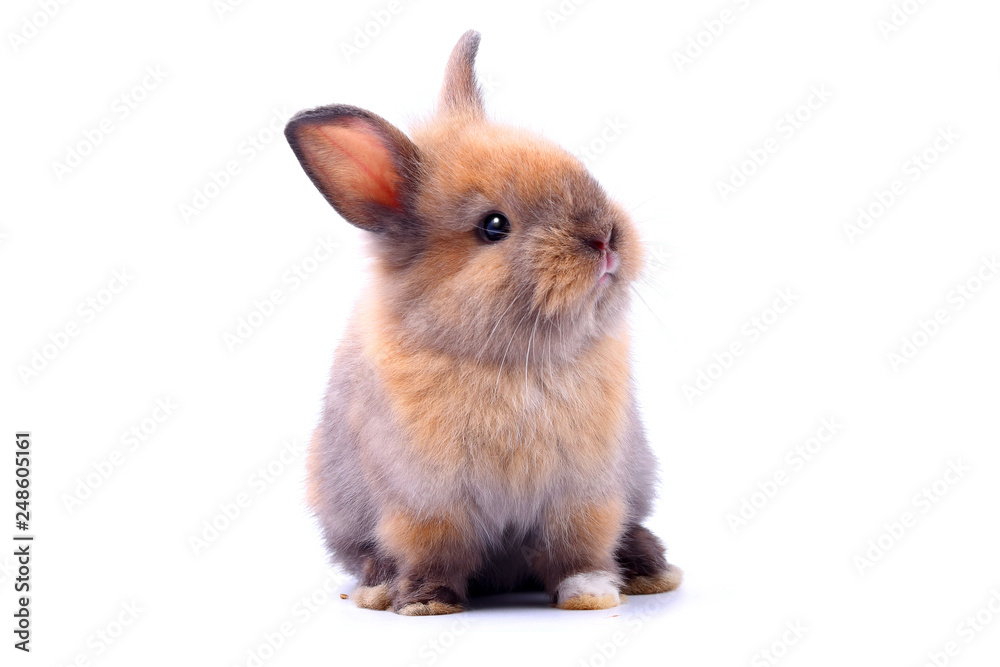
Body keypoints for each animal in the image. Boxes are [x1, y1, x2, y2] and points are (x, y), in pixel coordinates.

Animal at [285, 30, 681, 615]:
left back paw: (652, 569)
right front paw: (426, 604)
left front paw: (591, 595)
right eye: (494, 226)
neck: (515, 364)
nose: (604, 237)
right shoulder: (425, 505)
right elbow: (433, 553)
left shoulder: (583, 496)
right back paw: (376, 587)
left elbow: (578, 548)